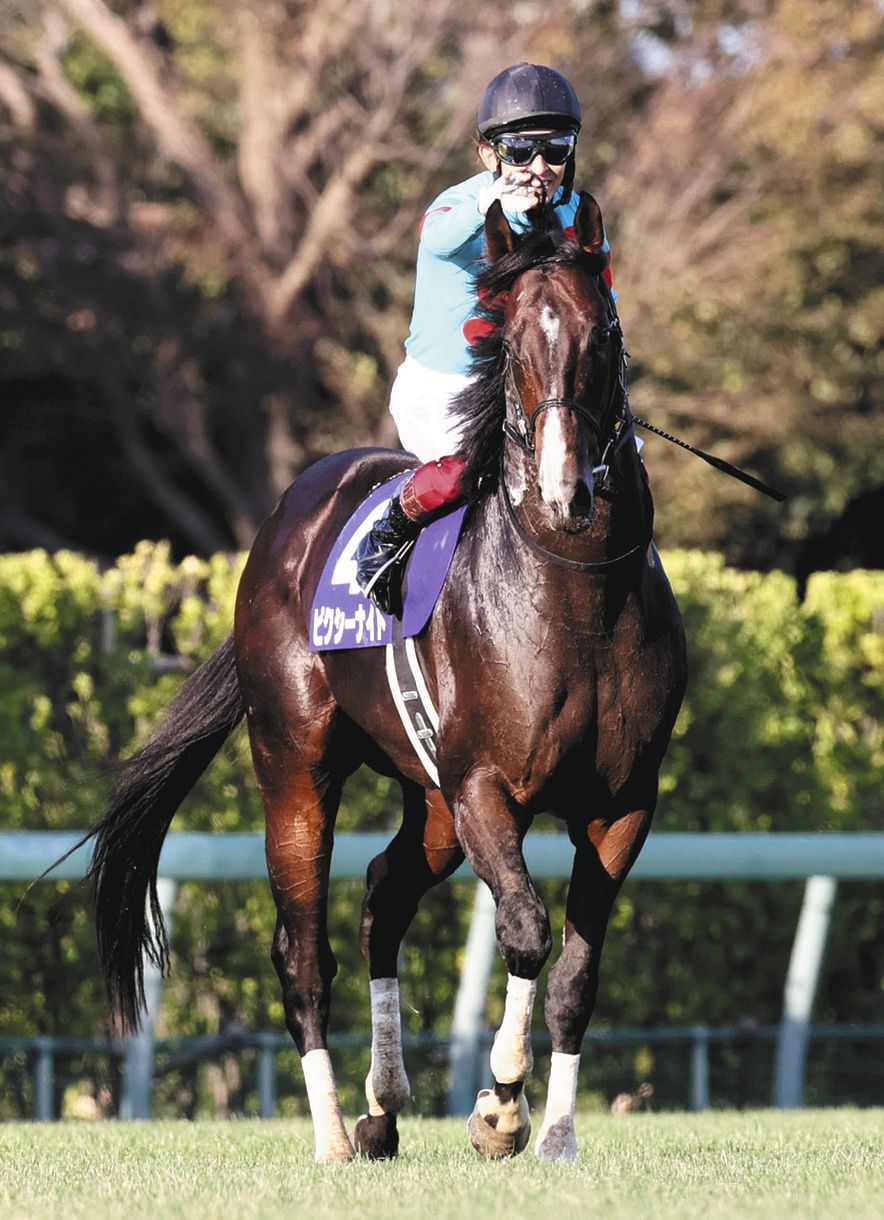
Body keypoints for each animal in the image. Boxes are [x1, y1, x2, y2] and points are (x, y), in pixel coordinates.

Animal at [87, 193, 687, 1163]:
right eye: (508, 338)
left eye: (604, 331)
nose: (567, 491)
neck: (577, 597)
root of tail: (283, 521)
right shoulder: (485, 786)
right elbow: (524, 930)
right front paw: (498, 1107)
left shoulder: (622, 803)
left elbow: (576, 974)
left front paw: (555, 1133)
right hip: (297, 769)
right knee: (303, 952)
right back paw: (335, 1130)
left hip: (432, 803)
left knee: (381, 896)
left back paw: (383, 1102)